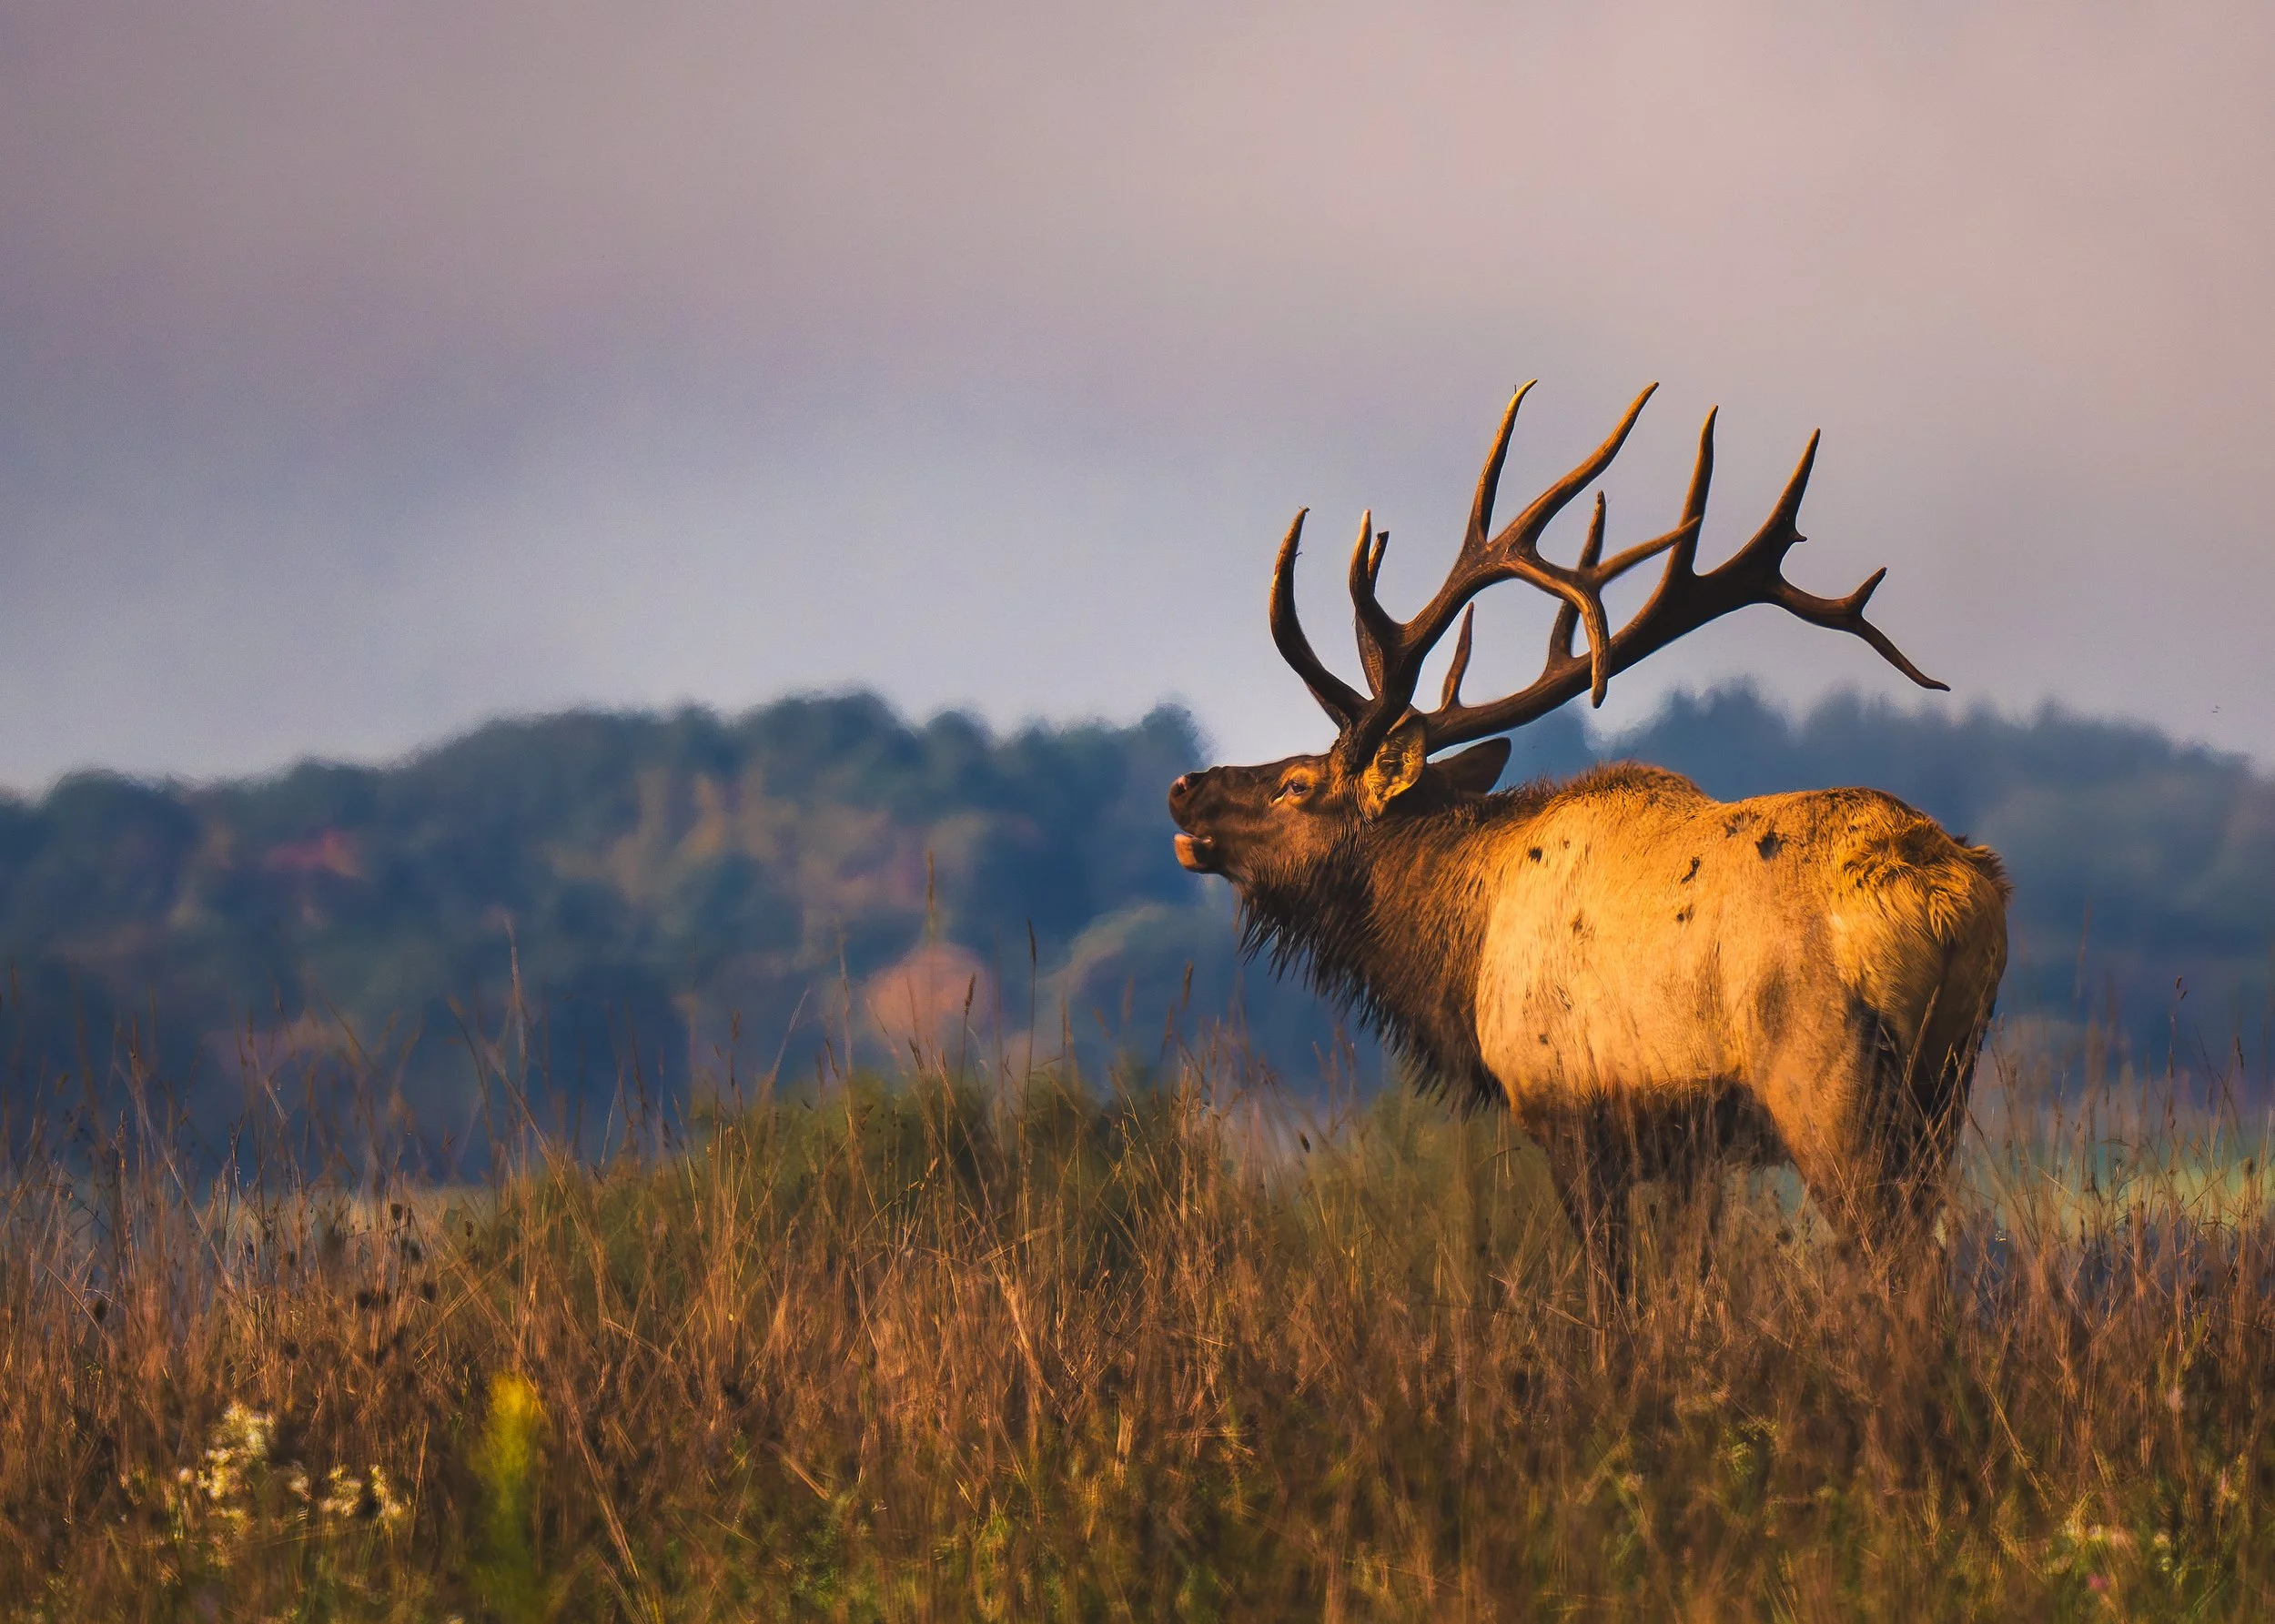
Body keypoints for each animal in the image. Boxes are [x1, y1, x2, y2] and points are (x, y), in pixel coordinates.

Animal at [1167, 382, 2008, 1290]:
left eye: (1297, 784)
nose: (1185, 787)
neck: (1461, 954)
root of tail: (1949, 899)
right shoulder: (1691, 1154)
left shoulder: (1571, 1113)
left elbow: (1616, 1294)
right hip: (1945, 1087)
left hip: (1829, 1084)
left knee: (1897, 1264)